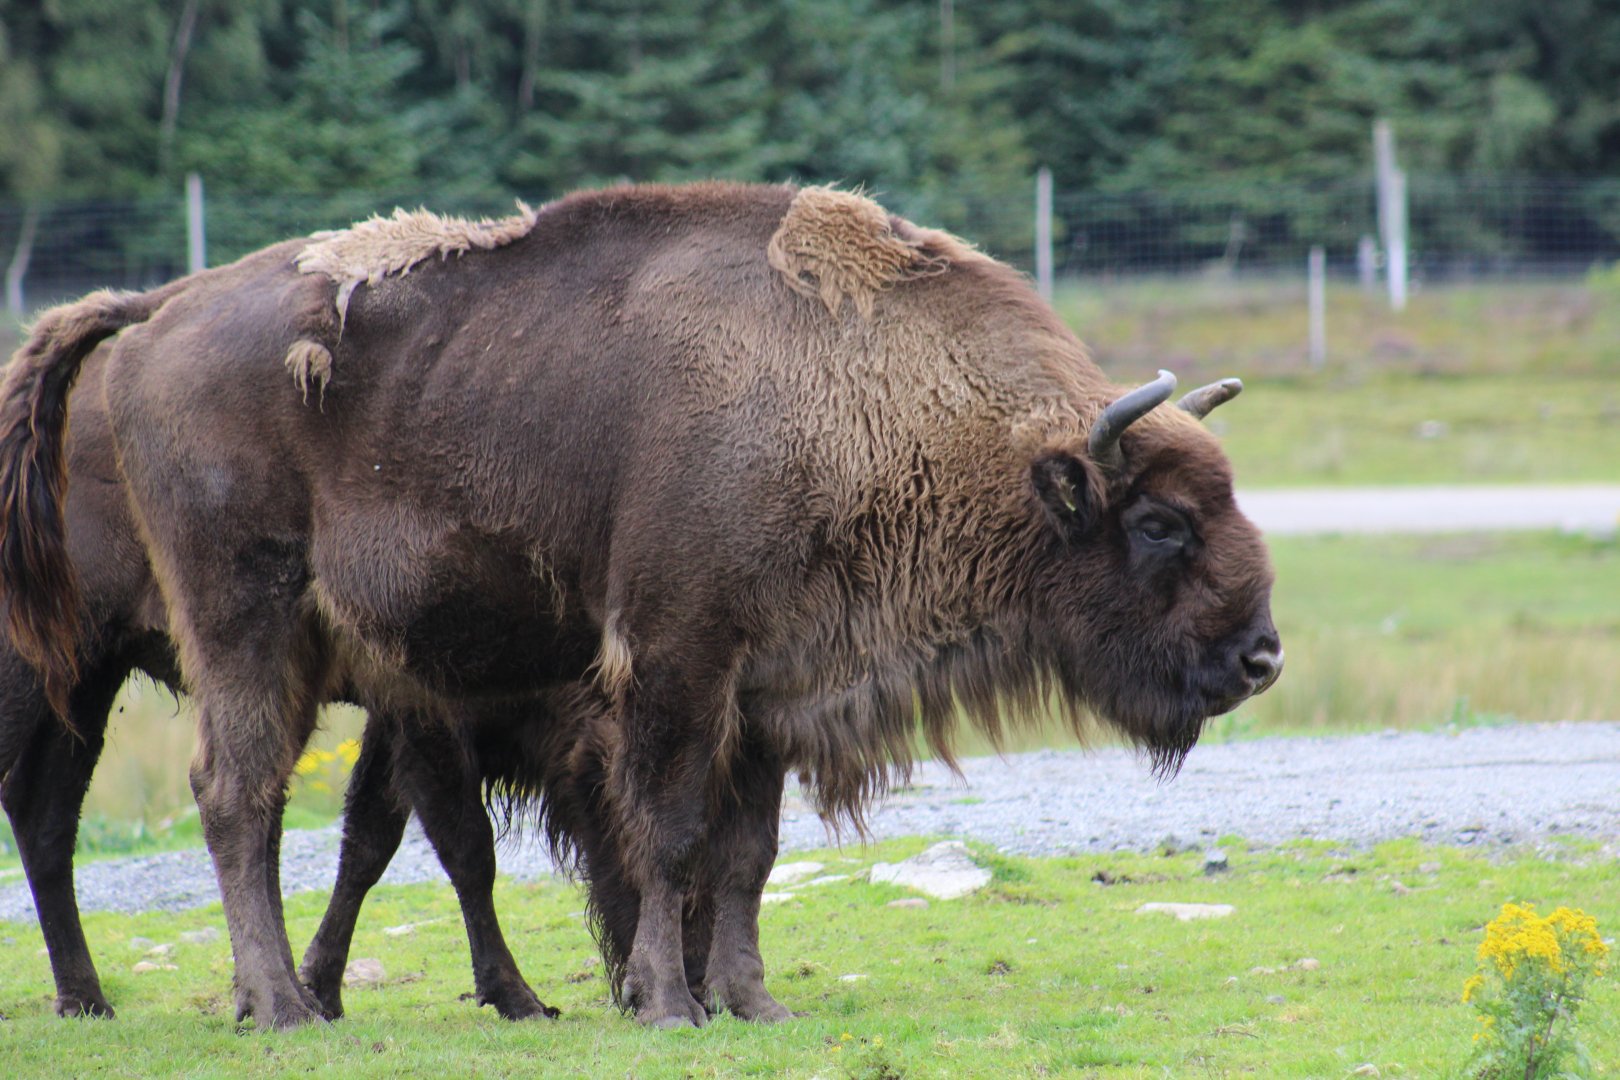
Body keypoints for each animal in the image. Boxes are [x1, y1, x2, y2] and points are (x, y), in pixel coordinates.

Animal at [0, 182, 1279, 1029]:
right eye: (1160, 522)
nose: (1261, 658)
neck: (860, 400)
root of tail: (160, 310)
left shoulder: (767, 692)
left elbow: (748, 853)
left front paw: (752, 1003)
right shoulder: (674, 662)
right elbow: (667, 834)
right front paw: (670, 1004)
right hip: (239, 627)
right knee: (234, 795)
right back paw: (277, 1010)